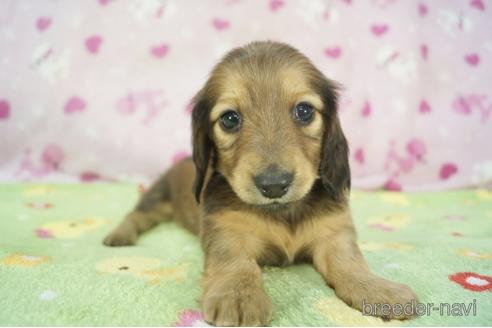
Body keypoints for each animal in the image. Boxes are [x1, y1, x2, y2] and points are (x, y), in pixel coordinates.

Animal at [104, 40, 418, 326]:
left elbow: (350, 262)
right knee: (136, 215)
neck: (283, 211)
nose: (274, 185)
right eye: (230, 118)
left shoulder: (334, 233)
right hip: (156, 198)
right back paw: (119, 236)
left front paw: (378, 288)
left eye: (304, 111)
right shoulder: (226, 230)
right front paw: (238, 294)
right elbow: (236, 261)